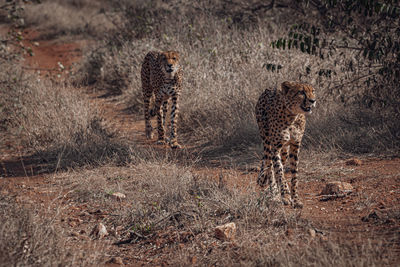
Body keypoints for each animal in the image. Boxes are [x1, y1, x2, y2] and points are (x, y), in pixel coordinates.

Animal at [256, 81, 316, 209]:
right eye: (301, 92)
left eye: (313, 91)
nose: (313, 100)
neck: (293, 116)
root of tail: (269, 89)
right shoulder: (275, 148)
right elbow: (279, 172)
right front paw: (285, 196)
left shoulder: (295, 146)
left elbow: (294, 175)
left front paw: (295, 198)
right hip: (267, 142)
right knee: (270, 167)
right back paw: (274, 193)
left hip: (284, 151)